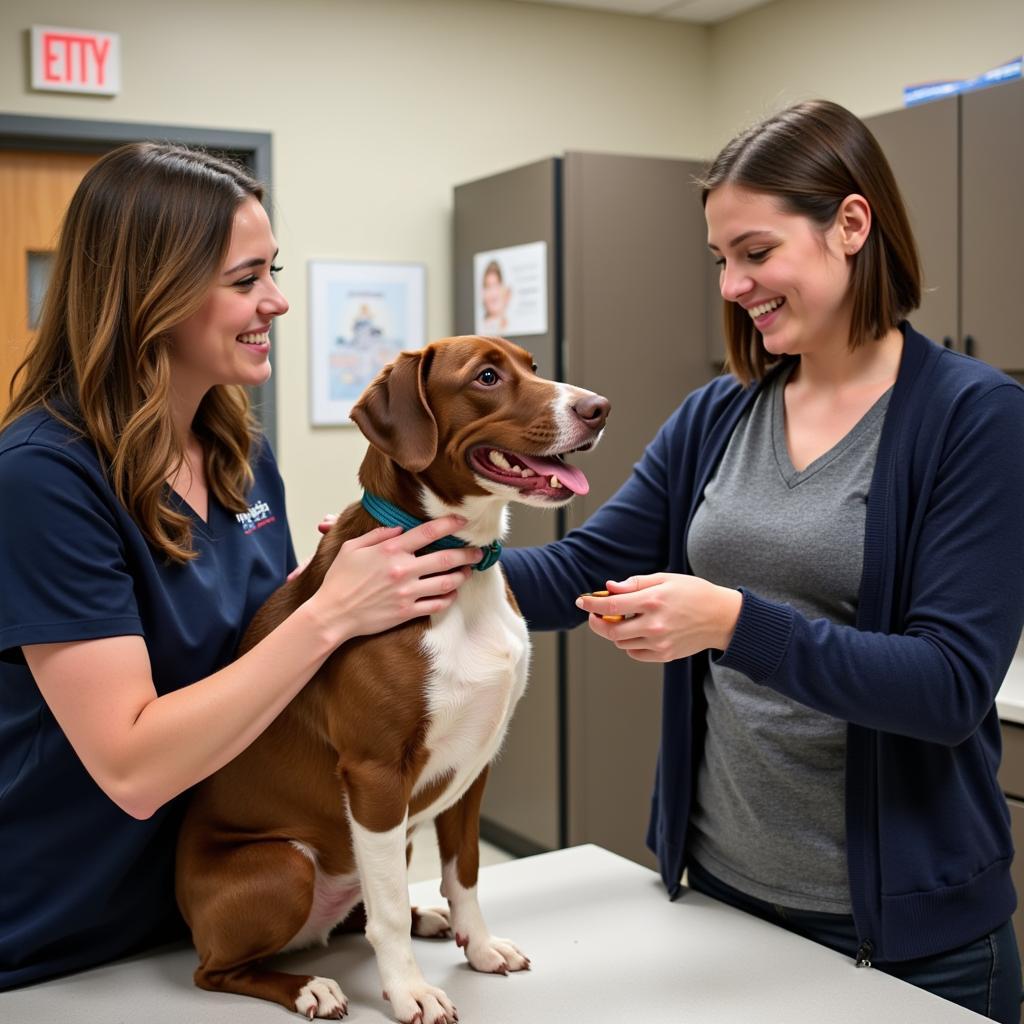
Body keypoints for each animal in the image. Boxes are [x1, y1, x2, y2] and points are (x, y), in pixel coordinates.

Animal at [175, 337, 606, 1024]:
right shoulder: (375, 775)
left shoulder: (474, 769)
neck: (457, 563)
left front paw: (480, 947)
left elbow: (466, 872)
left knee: (364, 912)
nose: (598, 408)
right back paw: (309, 987)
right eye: (487, 376)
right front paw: (409, 991)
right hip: (286, 865)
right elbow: (387, 920)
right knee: (217, 969)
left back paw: (425, 916)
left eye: (533, 366)